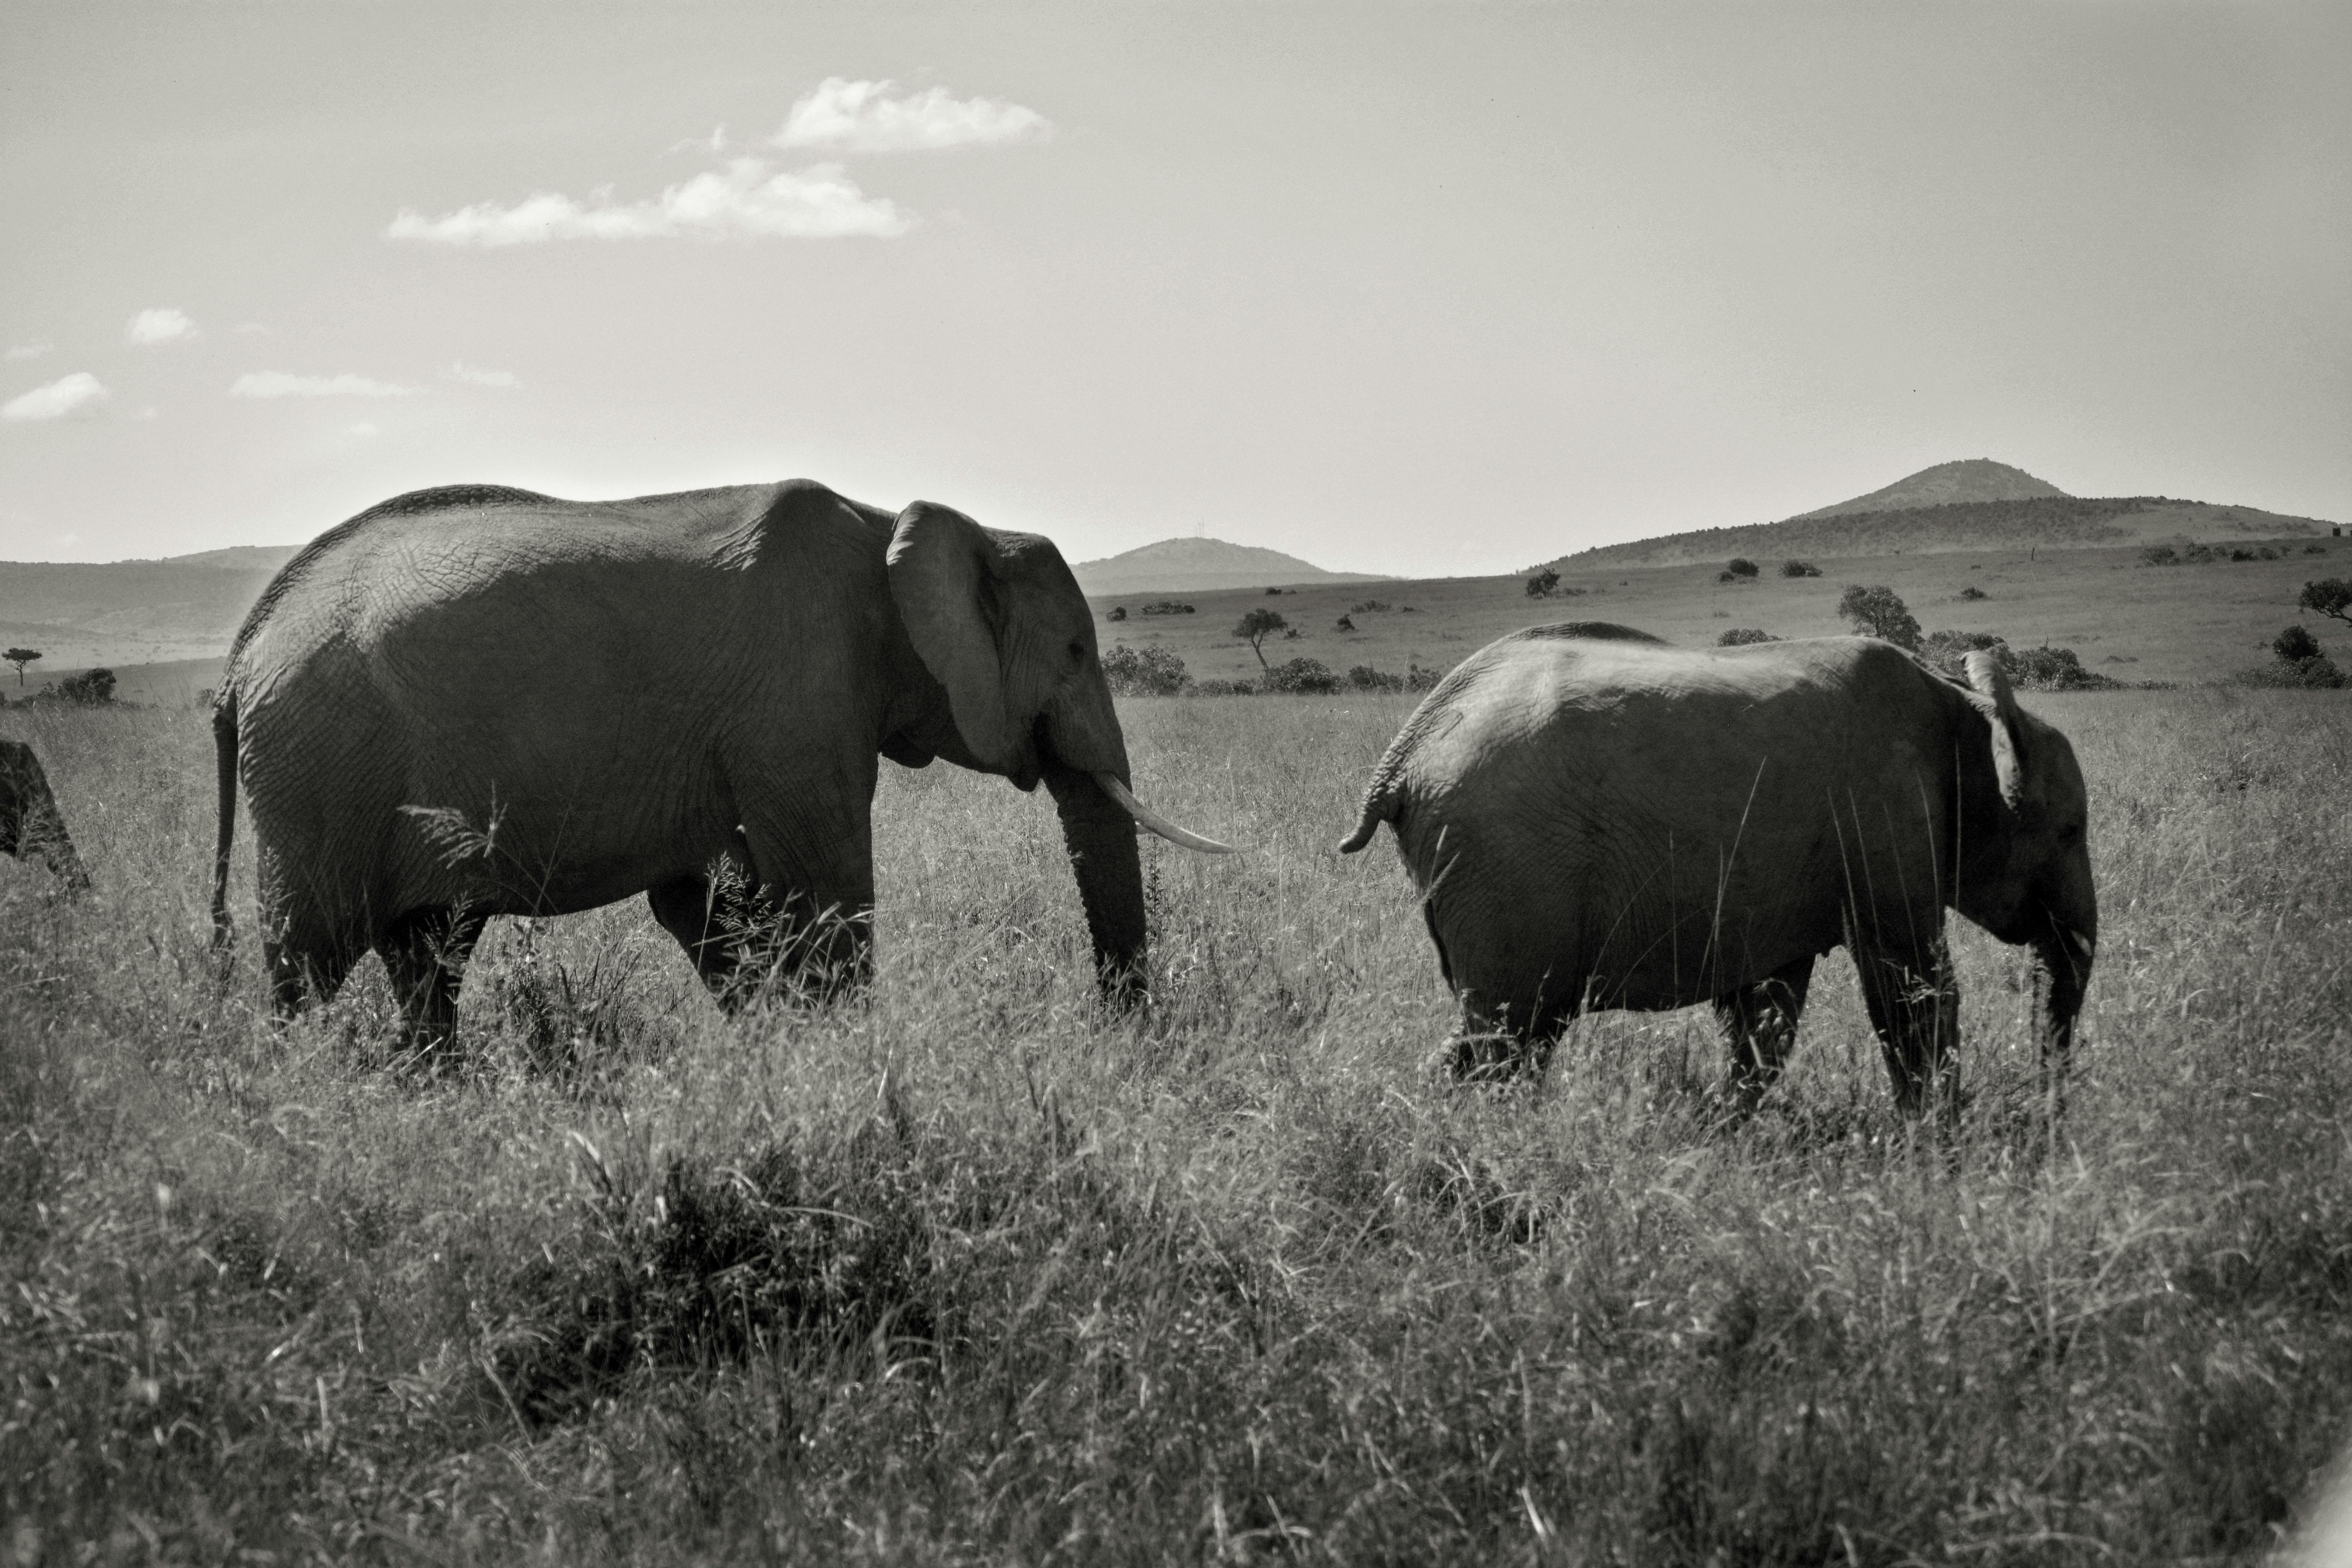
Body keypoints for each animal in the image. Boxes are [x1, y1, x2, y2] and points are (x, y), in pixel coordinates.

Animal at [210, 479, 1233, 1052]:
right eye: (1074, 651)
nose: (1122, 1039)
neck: (896, 530)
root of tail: (240, 655)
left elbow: (711, 898)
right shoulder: (800, 695)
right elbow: (826, 892)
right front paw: (844, 1071)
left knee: (428, 955)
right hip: (320, 772)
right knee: (308, 959)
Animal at [1337, 623, 2096, 1118]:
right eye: (2069, 831)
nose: (2048, 1113)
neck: (1969, 709)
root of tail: (1405, 755)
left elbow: (1768, 1010)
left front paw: (1729, 1130)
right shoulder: (1886, 814)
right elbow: (1912, 988)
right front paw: (1937, 1141)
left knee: (1505, 1035)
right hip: (1509, 867)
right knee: (1509, 1033)